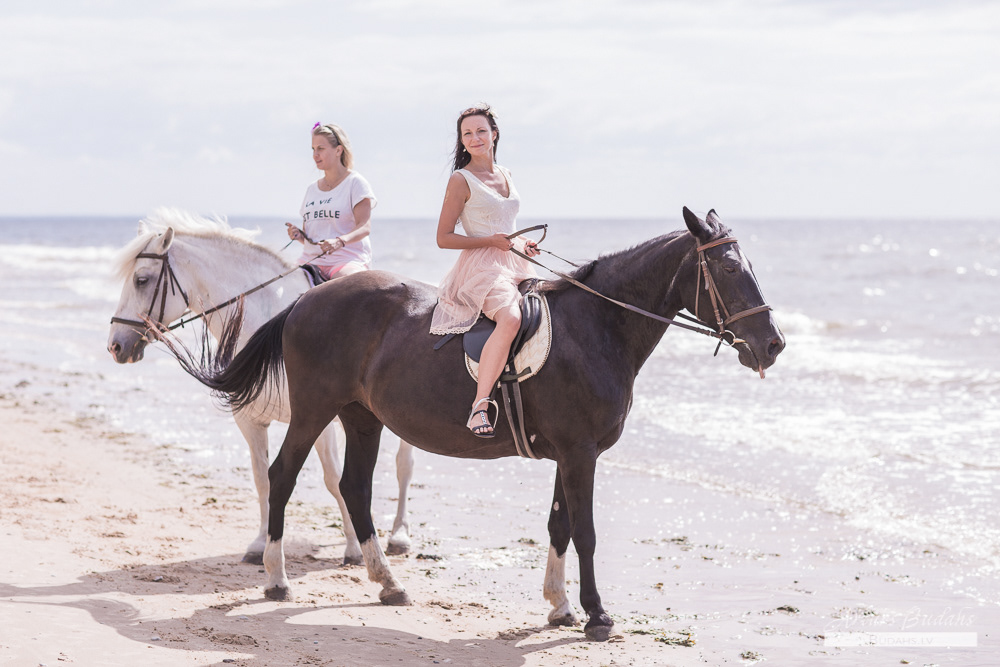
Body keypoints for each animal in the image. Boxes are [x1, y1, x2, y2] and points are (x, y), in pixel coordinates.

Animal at [106, 208, 415, 564]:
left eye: (141, 280)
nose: (115, 346)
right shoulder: (250, 420)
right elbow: (262, 479)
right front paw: (260, 546)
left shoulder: (318, 422)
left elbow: (333, 479)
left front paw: (353, 548)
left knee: (404, 466)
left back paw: (400, 536)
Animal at [159, 207, 785, 641]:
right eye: (730, 268)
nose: (773, 345)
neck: (595, 328)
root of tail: (307, 300)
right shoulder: (580, 452)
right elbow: (584, 531)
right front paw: (596, 615)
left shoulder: (568, 454)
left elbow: (558, 525)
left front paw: (559, 606)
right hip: (314, 411)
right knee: (283, 477)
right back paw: (276, 579)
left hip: (362, 419)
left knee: (356, 490)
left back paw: (388, 583)